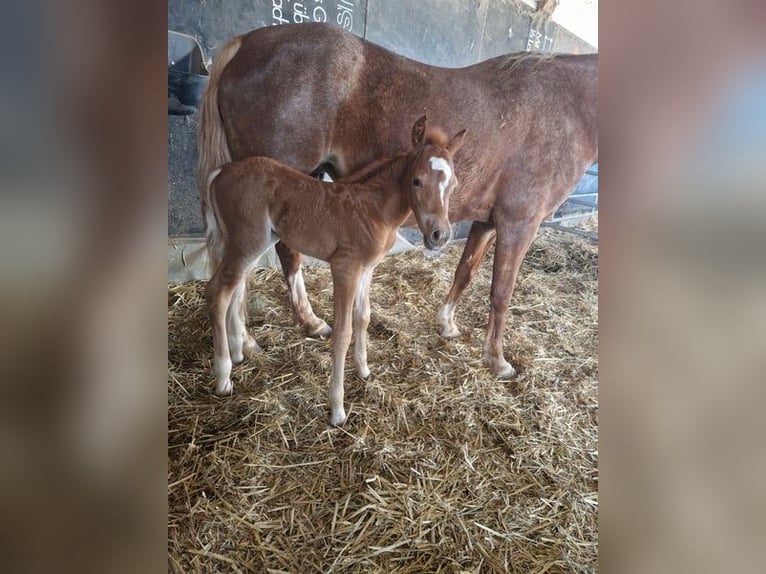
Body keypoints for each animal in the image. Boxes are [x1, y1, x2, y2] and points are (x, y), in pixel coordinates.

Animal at [197, 22, 597, 379]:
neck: (567, 106)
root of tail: (247, 42)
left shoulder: (486, 221)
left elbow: (465, 271)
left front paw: (447, 324)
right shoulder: (520, 222)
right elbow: (501, 292)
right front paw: (498, 360)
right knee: (260, 264)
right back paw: (259, 338)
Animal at [205, 116, 466, 425]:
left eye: (454, 184)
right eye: (417, 181)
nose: (439, 235)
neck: (373, 207)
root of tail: (221, 172)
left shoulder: (367, 268)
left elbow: (363, 317)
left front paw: (364, 370)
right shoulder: (345, 268)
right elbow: (343, 331)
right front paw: (338, 408)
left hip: (251, 245)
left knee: (233, 288)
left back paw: (238, 353)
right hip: (248, 242)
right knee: (218, 292)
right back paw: (223, 377)